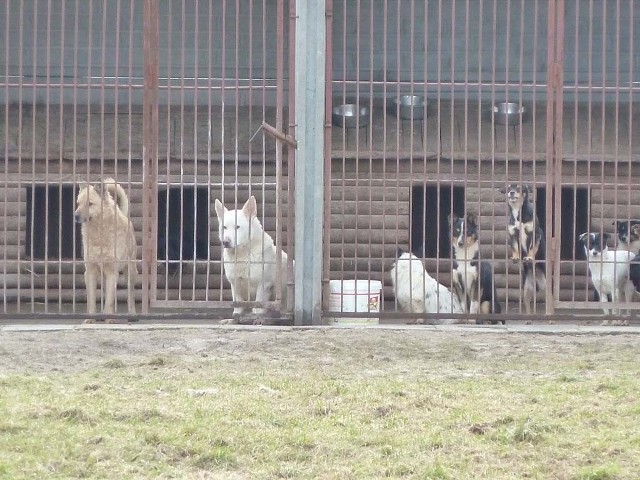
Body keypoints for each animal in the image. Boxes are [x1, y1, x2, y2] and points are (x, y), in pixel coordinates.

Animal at [76, 177, 139, 322]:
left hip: (130, 271)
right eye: (78, 203)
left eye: (90, 204)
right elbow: (92, 300)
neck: (99, 233)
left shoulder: (112, 272)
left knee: (131, 294)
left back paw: (132, 315)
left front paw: (109, 319)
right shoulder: (91, 272)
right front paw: (90, 319)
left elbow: (110, 300)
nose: (75, 216)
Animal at [214, 196, 292, 326]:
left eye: (237, 227)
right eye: (224, 227)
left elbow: (258, 308)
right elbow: (238, 308)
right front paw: (234, 320)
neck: (242, 256)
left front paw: (257, 319)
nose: (225, 242)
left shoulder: (263, 286)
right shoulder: (235, 285)